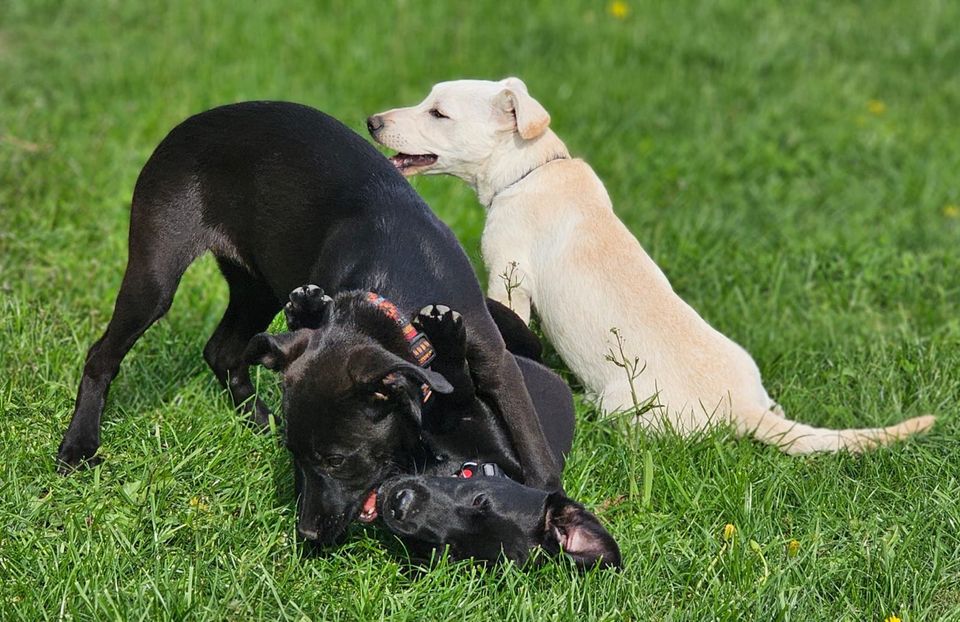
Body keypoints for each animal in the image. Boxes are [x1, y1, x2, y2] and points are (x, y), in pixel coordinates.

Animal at [60, 101, 564, 544]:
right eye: (296, 458)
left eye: (337, 460)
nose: (306, 534)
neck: (396, 292)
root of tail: (188, 124)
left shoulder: (496, 361)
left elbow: (533, 443)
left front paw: (548, 505)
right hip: (157, 273)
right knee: (103, 355)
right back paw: (78, 446)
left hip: (256, 284)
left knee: (222, 350)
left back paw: (257, 419)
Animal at [366, 79, 928, 458]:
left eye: (438, 113)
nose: (371, 121)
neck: (528, 171)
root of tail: (742, 409)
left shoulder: (510, 278)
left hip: (623, 405)